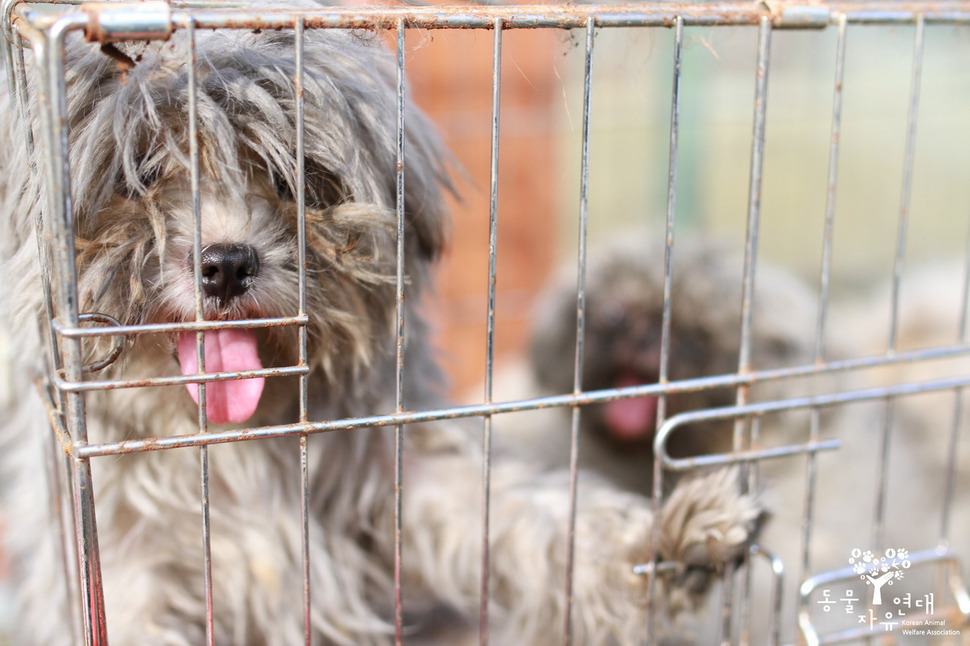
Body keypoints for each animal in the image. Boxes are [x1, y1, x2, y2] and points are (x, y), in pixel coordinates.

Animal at [0, 10, 756, 646]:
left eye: (291, 177)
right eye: (145, 173)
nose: (225, 265)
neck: (235, 444)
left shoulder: (402, 480)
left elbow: (525, 520)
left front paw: (657, 548)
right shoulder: (128, 579)